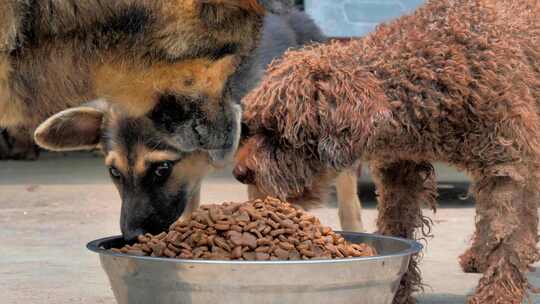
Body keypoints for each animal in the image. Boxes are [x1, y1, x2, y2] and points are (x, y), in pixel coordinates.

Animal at [235, 1, 540, 302]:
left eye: (279, 132)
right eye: (253, 126)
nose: (240, 173)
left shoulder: (511, 166)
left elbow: (507, 237)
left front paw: (497, 294)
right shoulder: (399, 170)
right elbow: (397, 226)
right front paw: (399, 289)